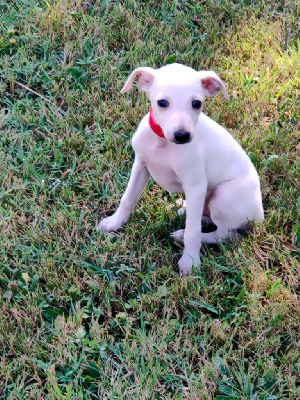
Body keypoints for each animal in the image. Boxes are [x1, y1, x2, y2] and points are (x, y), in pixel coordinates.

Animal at [98, 64, 262, 276]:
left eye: (196, 103)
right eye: (162, 102)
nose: (182, 135)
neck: (163, 143)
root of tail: (261, 215)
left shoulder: (195, 185)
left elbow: (193, 232)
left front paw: (190, 261)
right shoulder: (140, 167)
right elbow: (127, 199)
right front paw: (115, 223)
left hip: (224, 196)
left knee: (225, 234)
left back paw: (185, 235)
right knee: (203, 216)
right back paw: (182, 210)